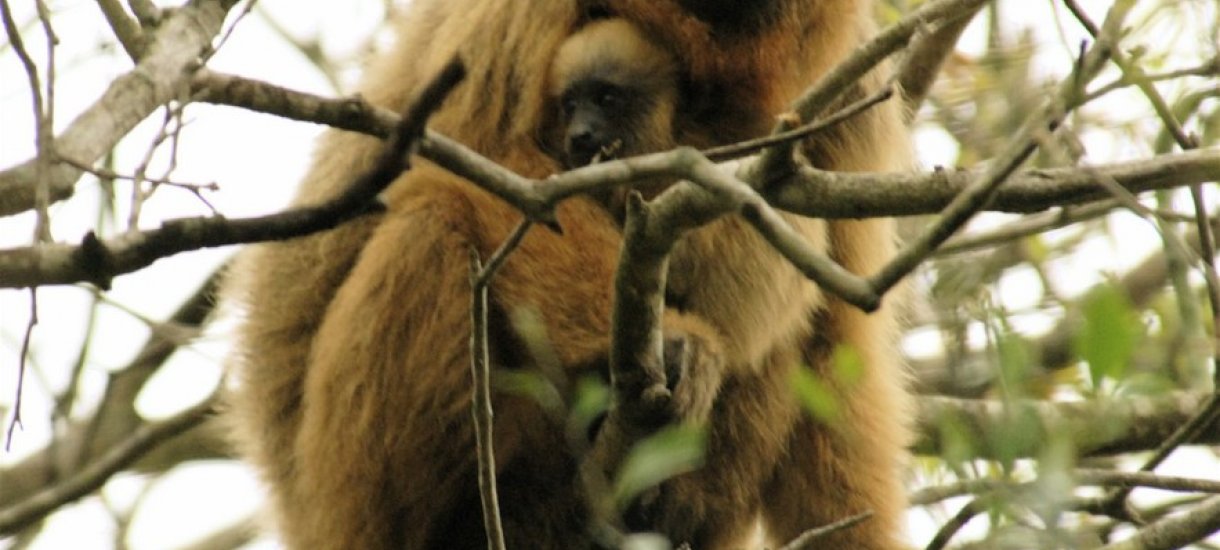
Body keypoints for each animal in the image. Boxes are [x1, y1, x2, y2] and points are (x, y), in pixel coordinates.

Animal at [226, 1, 917, 550]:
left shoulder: (854, 83)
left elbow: (839, 332)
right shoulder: (513, 17)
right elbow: (480, 166)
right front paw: (677, 342)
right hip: (347, 493)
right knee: (433, 219)